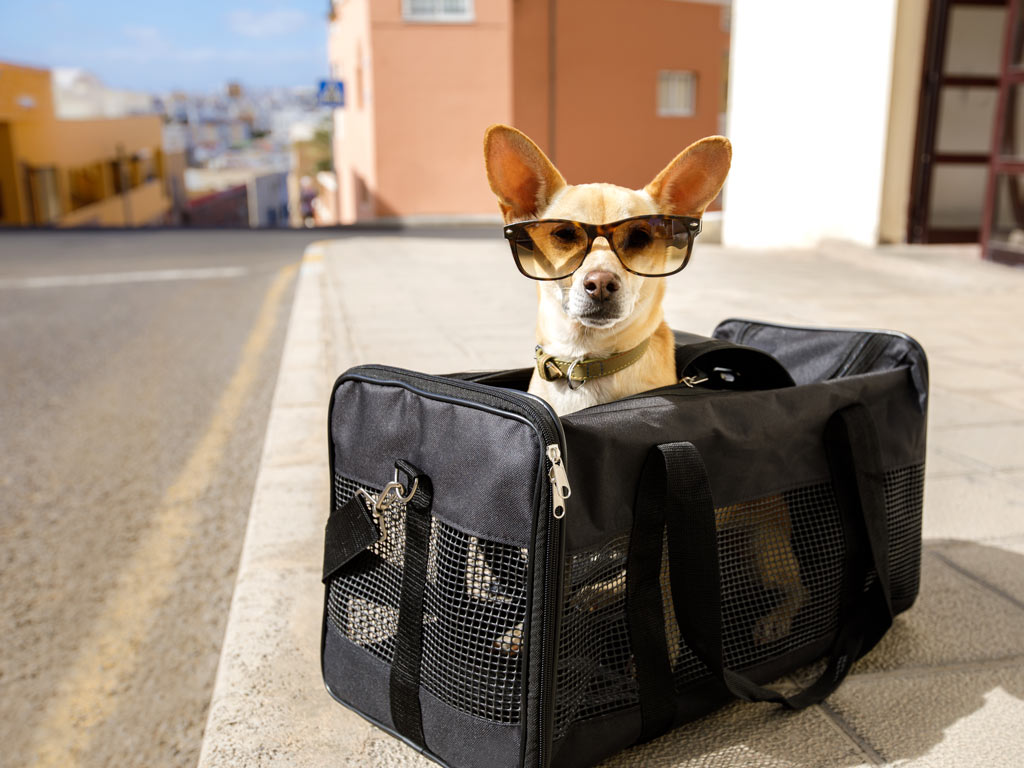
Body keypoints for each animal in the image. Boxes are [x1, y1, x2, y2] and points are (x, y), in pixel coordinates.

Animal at [483, 126, 802, 651]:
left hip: (765, 550)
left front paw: (666, 652)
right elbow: (555, 586)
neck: (587, 366)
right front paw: (523, 632)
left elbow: (666, 605)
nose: (600, 282)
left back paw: (774, 619)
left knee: (800, 589)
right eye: (564, 234)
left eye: (640, 237)